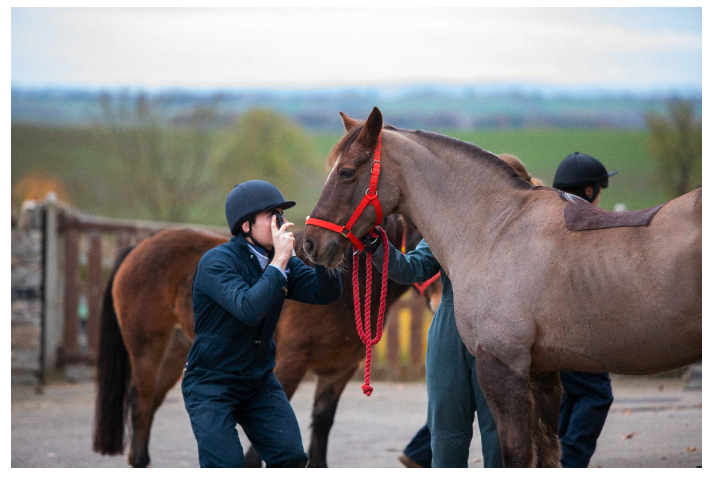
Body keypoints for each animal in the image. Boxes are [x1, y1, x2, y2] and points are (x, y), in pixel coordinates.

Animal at [92, 214, 425, 468]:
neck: (347, 292)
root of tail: (138, 247)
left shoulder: (338, 373)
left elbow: (321, 426)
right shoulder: (291, 364)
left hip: (175, 354)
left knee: (152, 402)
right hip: (147, 350)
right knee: (141, 401)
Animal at [303, 107, 702, 468]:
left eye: (346, 172)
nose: (310, 243)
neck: (495, 228)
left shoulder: (502, 367)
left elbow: (516, 455)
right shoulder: (542, 372)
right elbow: (549, 453)